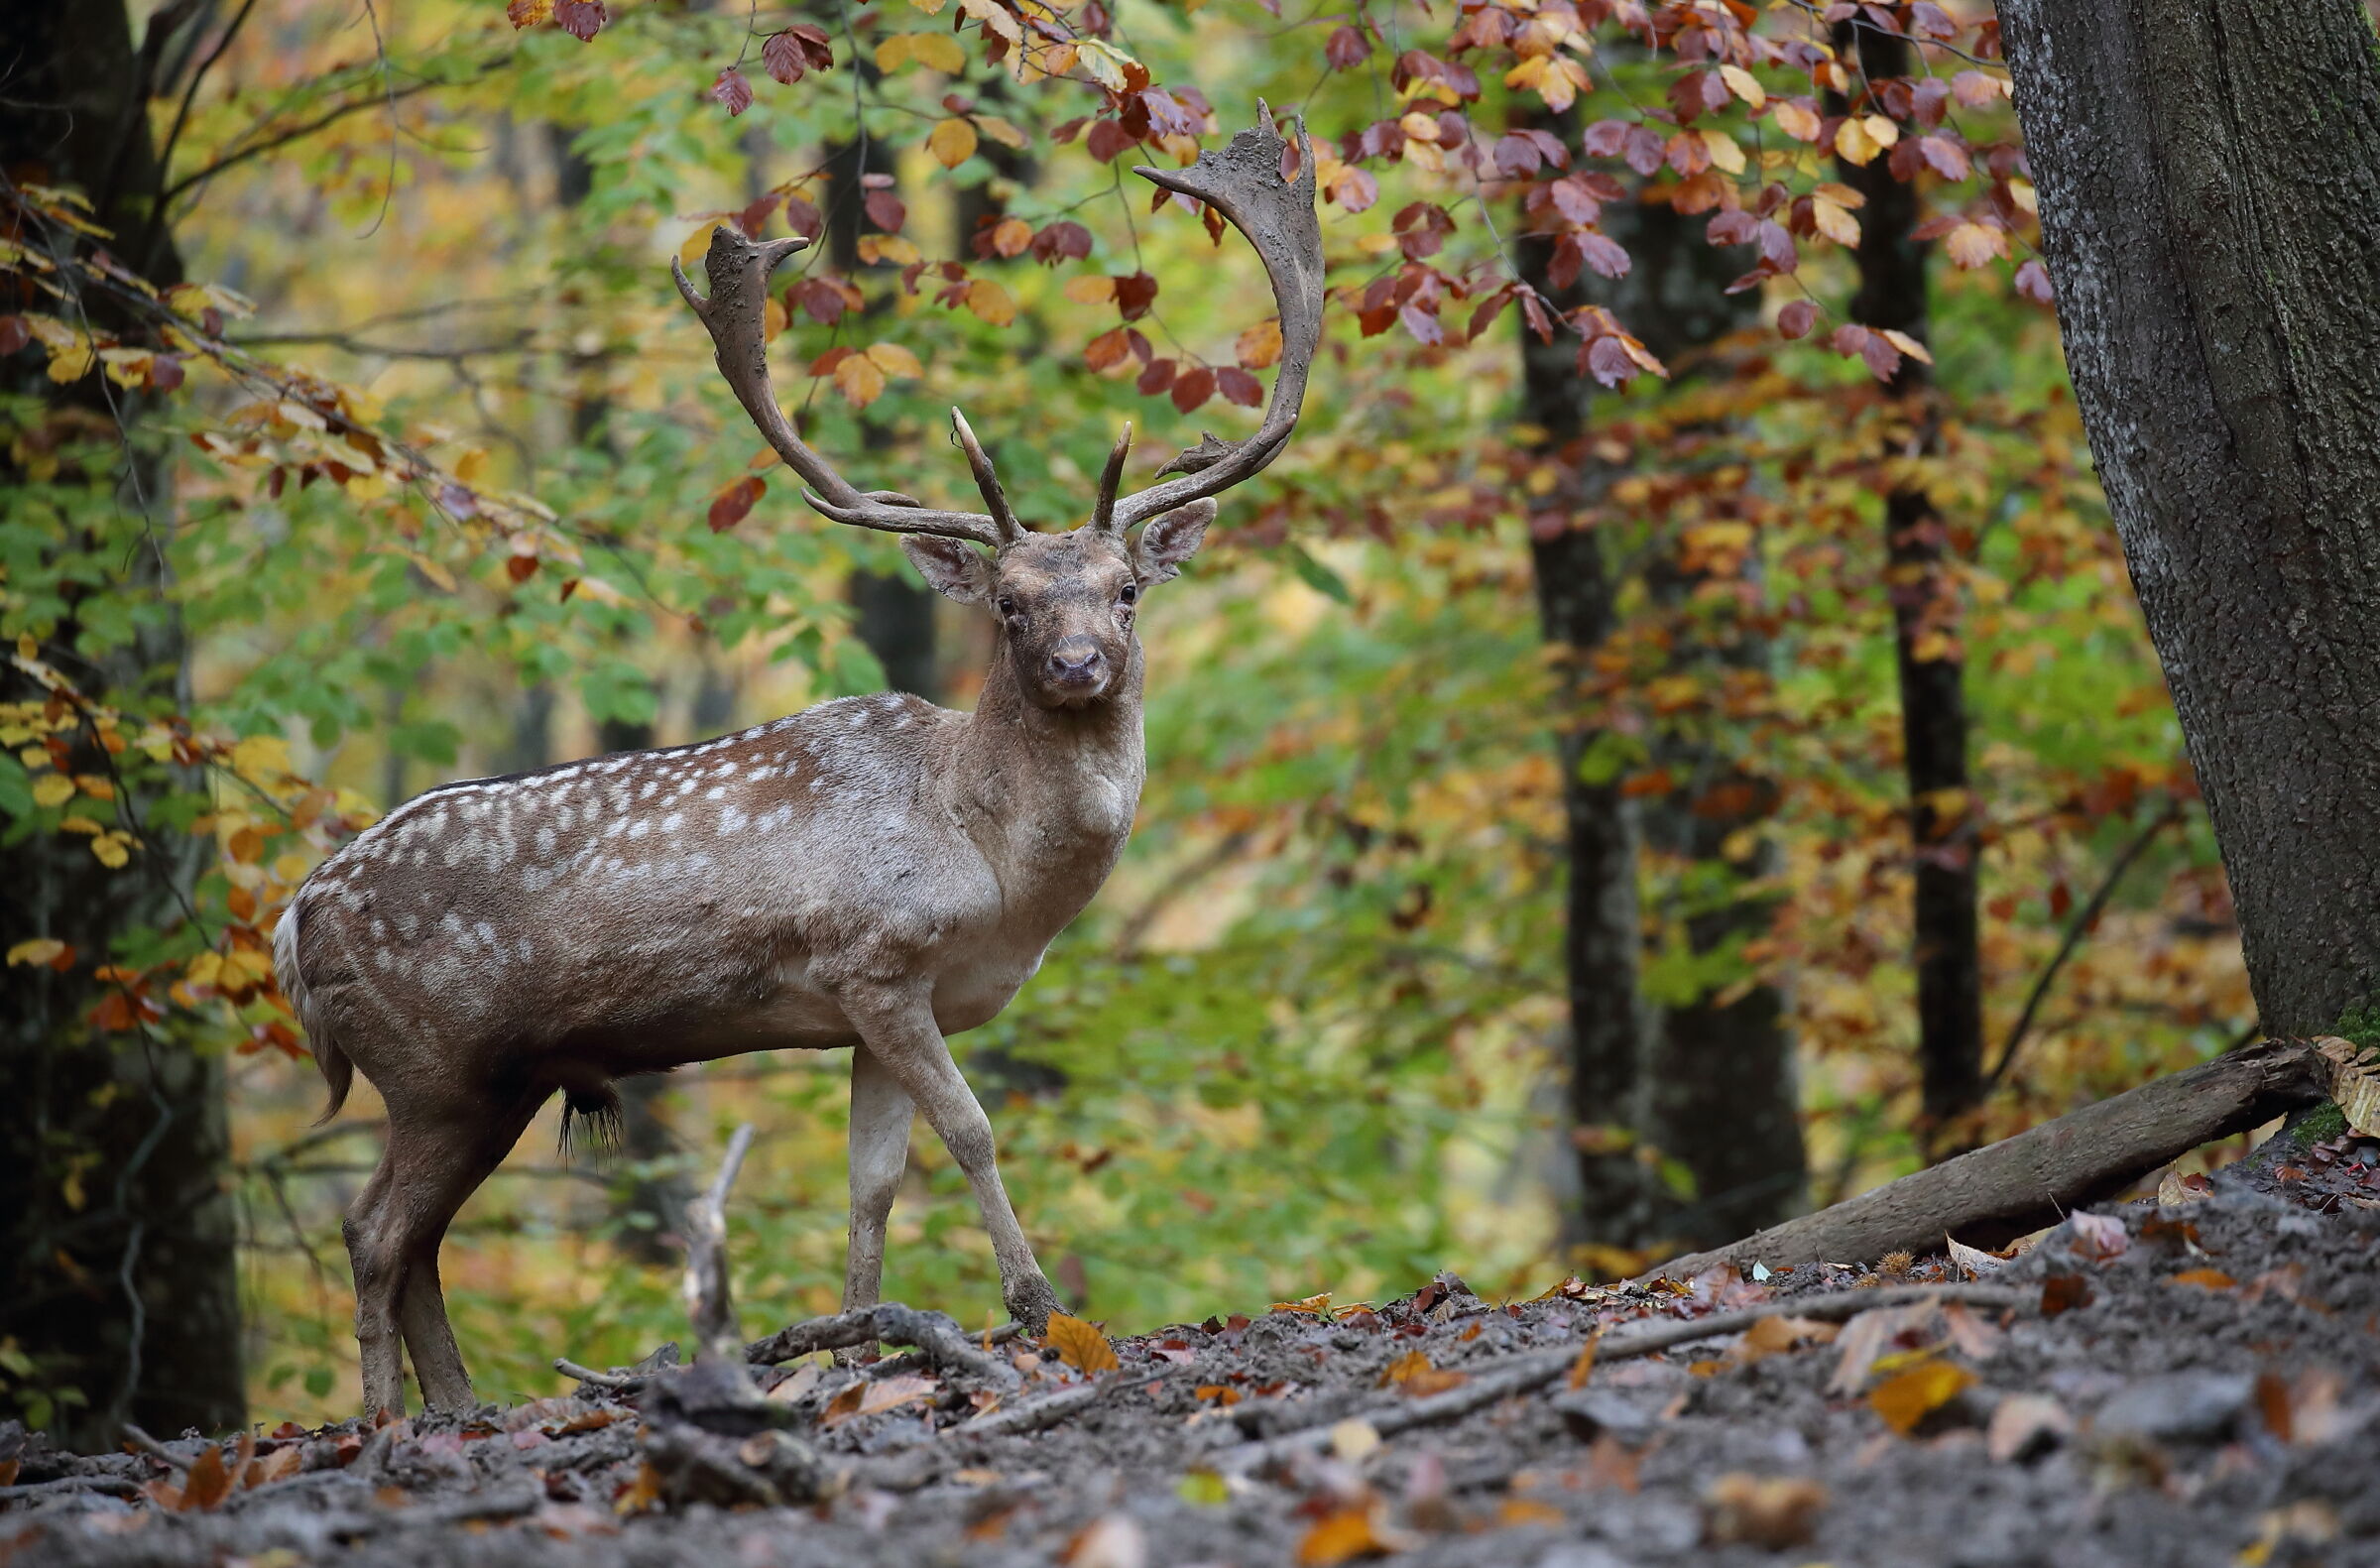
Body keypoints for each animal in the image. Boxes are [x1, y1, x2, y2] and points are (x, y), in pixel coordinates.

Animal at [272, 111, 1322, 1416]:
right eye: (1011, 605)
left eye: (1126, 590)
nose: (1079, 663)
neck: (994, 870)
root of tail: (294, 921)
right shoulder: (874, 956)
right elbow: (972, 1131)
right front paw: (1038, 1308)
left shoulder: (875, 1009)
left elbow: (873, 1180)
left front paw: (861, 1340)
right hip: (431, 1062)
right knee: (376, 1233)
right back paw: (383, 1424)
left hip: (491, 1080)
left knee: (415, 1241)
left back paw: (459, 1410)